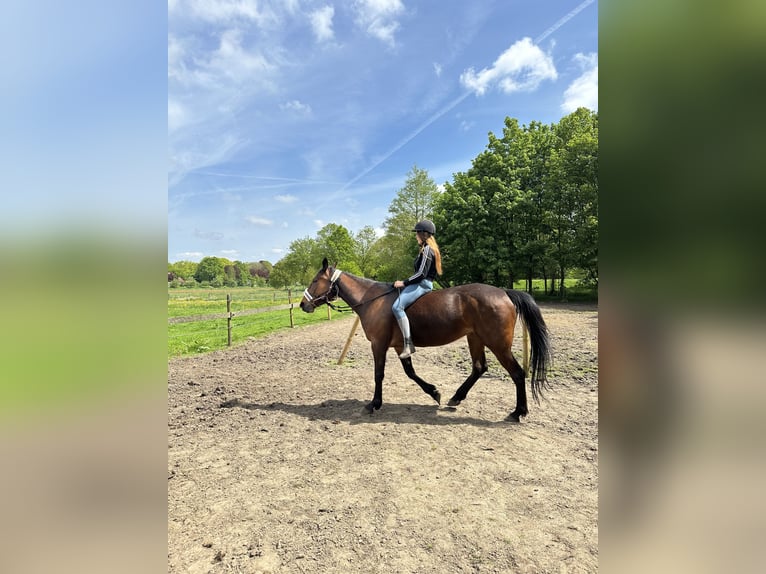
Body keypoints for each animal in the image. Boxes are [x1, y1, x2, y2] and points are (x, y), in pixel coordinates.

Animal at [300, 260, 552, 424]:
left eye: (315, 280)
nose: (303, 304)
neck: (372, 300)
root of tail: (504, 292)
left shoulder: (378, 345)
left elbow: (379, 374)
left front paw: (374, 404)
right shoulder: (400, 346)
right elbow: (410, 372)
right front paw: (434, 392)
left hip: (498, 344)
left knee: (517, 373)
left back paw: (518, 412)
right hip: (475, 338)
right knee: (479, 367)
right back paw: (456, 398)